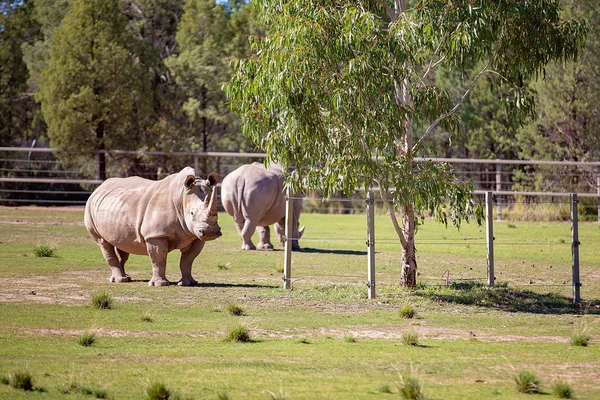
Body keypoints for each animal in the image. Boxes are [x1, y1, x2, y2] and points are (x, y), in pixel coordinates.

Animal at [85, 167, 223, 286]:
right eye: (192, 213)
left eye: (217, 213)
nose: (210, 232)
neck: (181, 197)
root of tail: (98, 188)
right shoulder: (156, 235)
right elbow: (159, 259)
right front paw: (160, 284)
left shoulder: (195, 236)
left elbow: (188, 260)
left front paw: (189, 283)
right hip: (89, 208)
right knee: (103, 242)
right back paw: (119, 280)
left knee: (121, 242)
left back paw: (126, 278)